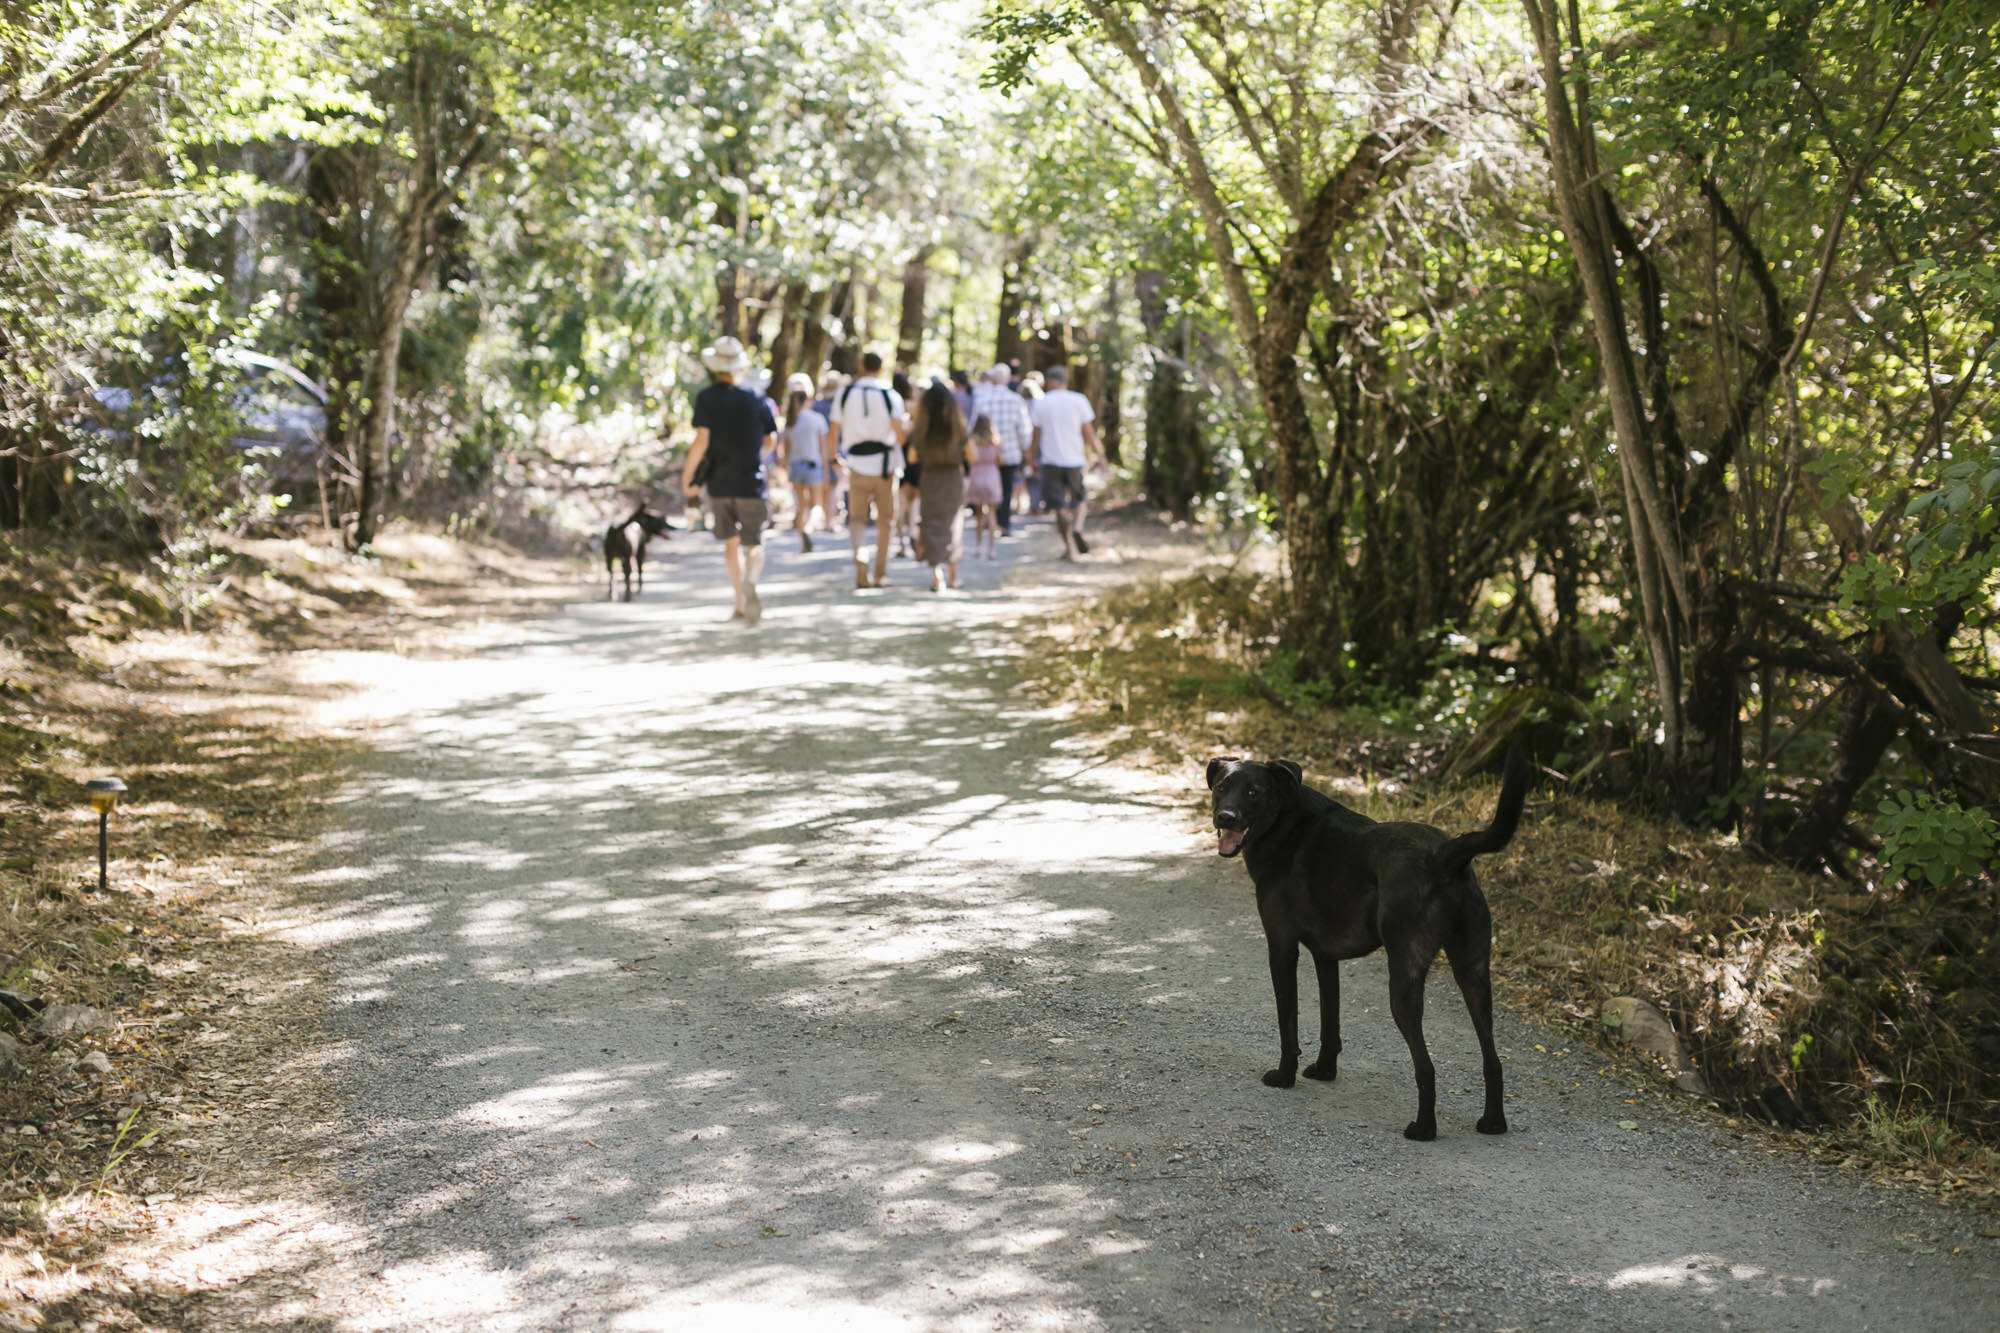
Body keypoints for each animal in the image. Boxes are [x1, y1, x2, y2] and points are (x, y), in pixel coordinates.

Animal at [1200, 740, 1528, 1136]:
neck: (1287, 824)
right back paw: (1493, 1122)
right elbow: (1330, 1021)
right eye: (1221, 787)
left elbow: (1288, 1025)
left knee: (1426, 1066)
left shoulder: (1281, 949)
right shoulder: (1325, 957)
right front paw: (1325, 1070)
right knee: (1492, 1060)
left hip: (1404, 984)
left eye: (1253, 792)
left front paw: (1284, 1076)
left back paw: (1423, 1129)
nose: (1225, 817)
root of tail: (1443, 856)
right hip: (1474, 975)